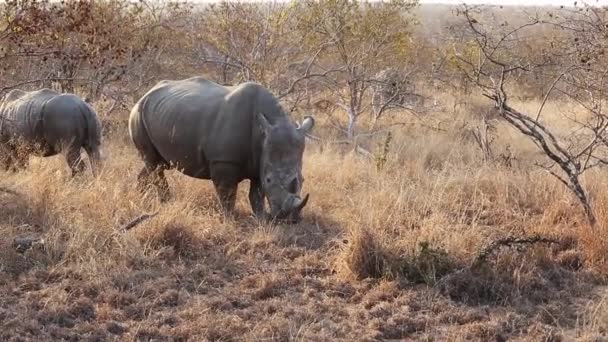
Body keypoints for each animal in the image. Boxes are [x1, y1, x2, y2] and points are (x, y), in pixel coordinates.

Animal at [130, 76, 316, 223]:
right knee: (154, 164)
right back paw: (166, 203)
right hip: (138, 114)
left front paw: (261, 219)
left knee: (156, 164)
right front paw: (230, 219)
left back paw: (139, 198)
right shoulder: (224, 160)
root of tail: (145, 94)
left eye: (303, 179)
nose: (290, 219)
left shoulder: (260, 160)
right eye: (270, 180)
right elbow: (227, 193)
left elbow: (257, 194)